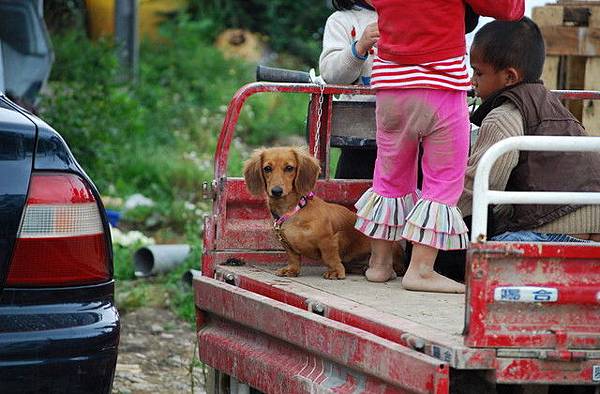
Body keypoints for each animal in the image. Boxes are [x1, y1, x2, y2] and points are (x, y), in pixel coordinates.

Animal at [241, 146, 406, 278]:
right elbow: (293, 258)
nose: (276, 191)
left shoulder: (328, 240)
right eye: (267, 168)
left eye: (289, 168)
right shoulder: (287, 244)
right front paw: (292, 270)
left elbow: (330, 257)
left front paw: (335, 271)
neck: (293, 211)